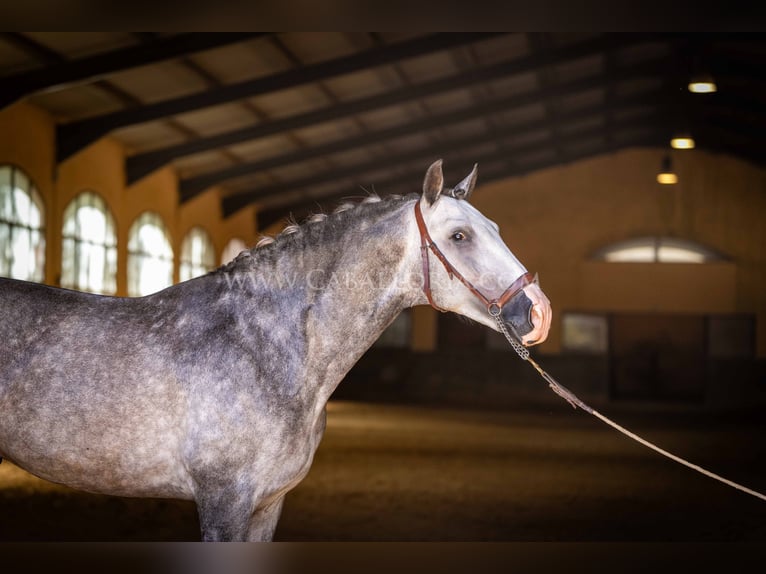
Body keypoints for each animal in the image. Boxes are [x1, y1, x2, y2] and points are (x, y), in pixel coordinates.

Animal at [0, 160, 552, 544]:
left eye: (497, 229)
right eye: (459, 236)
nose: (540, 313)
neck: (263, 347)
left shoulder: (268, 505)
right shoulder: (223, 502)